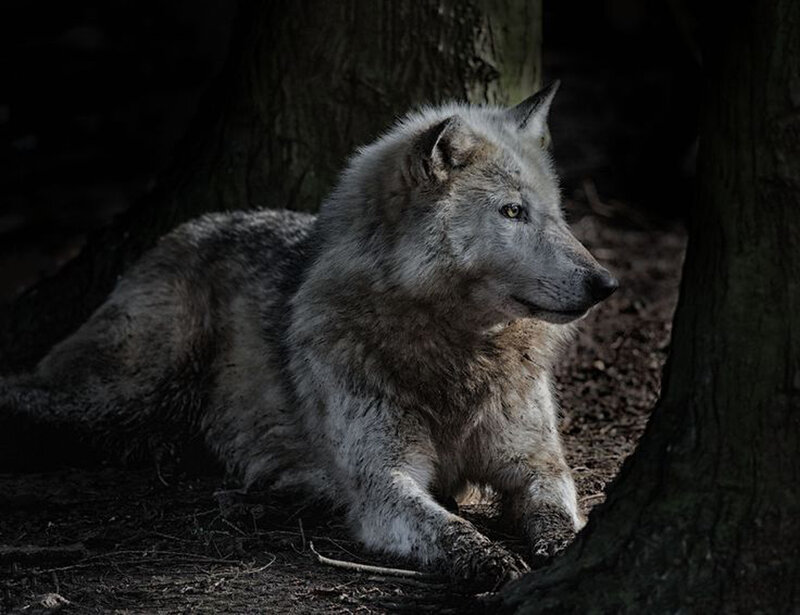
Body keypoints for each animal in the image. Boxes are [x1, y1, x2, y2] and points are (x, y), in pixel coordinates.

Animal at [1, 82, 617, 588]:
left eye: (558, 214)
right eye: (511, 211)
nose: (606, 282)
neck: (456, 356)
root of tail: (185, 227)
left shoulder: (537, 464)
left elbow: (556, 512)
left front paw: (564, 550)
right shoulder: (383, 483)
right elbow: (448, 528)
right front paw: (490, 559)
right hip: (116, 393)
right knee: (24, 393)